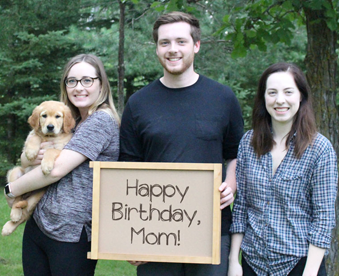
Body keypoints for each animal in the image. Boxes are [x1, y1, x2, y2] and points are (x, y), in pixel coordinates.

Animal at [2, 100, 74, 236]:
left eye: (58, 116)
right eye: (44, 115)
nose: (50, 127)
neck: (49, 136)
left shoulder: (62, 148)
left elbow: (51, 150)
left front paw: (46, 166)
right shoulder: (30, 137)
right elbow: (35, 136)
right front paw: (31, 152)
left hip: (36, 196)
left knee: (24, 213)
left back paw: (9, 227)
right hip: (16, 172)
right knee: (17, 199)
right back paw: (13, 217)